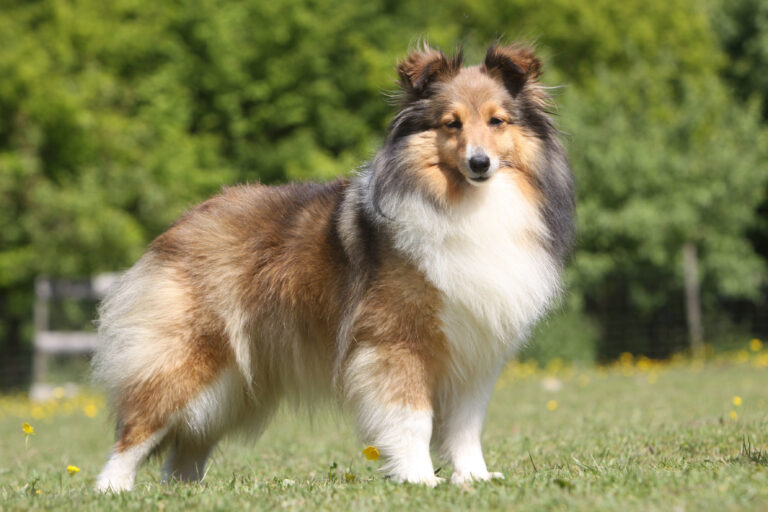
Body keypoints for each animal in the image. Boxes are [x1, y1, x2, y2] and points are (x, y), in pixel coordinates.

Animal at [93, 43, 572, 492]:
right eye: (451, 123)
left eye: (497, 121)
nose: (479, 163)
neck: (467, 204)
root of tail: (182, 221)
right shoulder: (397, 341)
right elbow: (413, 418)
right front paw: (420, 479)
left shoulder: (476, 352)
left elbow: (466, 427)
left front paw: (474, 477)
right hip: (185, 360)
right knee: (136, 431)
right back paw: (113, 488)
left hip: (233, 387)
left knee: (186, 447)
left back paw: (186, 490)